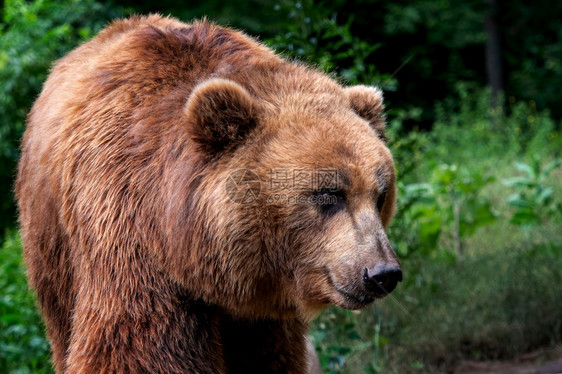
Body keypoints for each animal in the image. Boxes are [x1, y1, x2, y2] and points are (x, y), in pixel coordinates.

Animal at [16, 14, 398, 374]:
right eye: (328, 193)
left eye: (380, 195)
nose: (382, 273)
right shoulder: (129, 236)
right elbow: (137, 350)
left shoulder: (261, 317)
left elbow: (269, 357)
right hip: (53, 250)